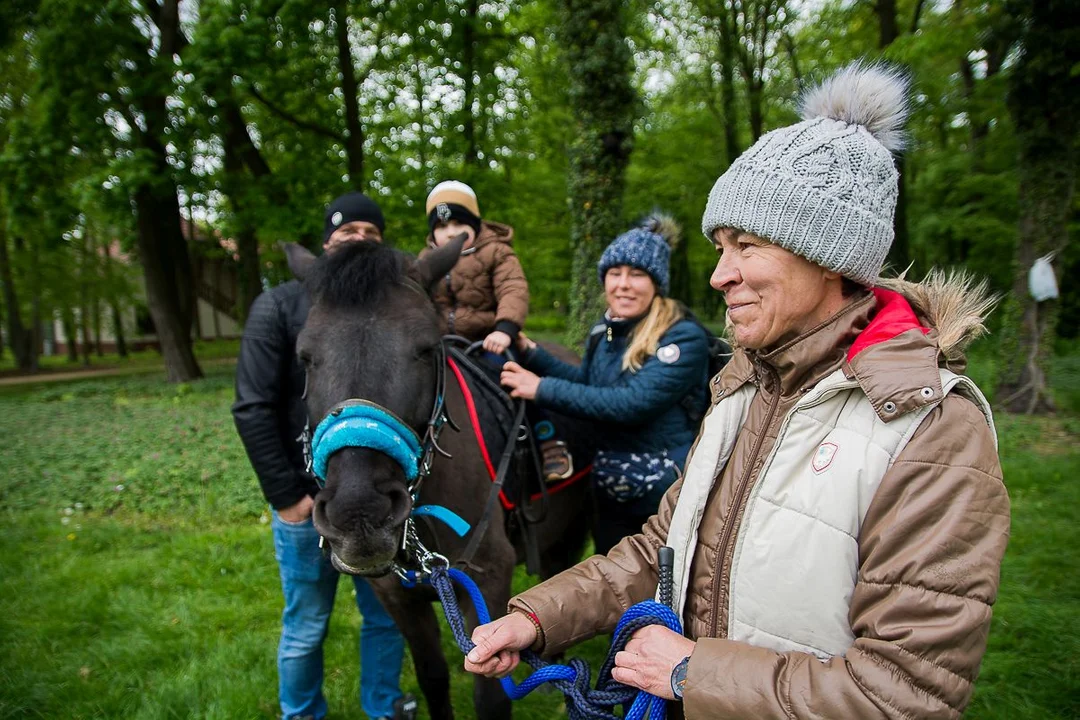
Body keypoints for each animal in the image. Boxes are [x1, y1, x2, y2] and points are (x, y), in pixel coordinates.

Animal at [285, 240, 591, 720]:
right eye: (304, 356)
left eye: (426, 348)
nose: (359, 512)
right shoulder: (396, 595)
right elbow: (433, 677)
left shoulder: (486, 579)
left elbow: (491, 697)